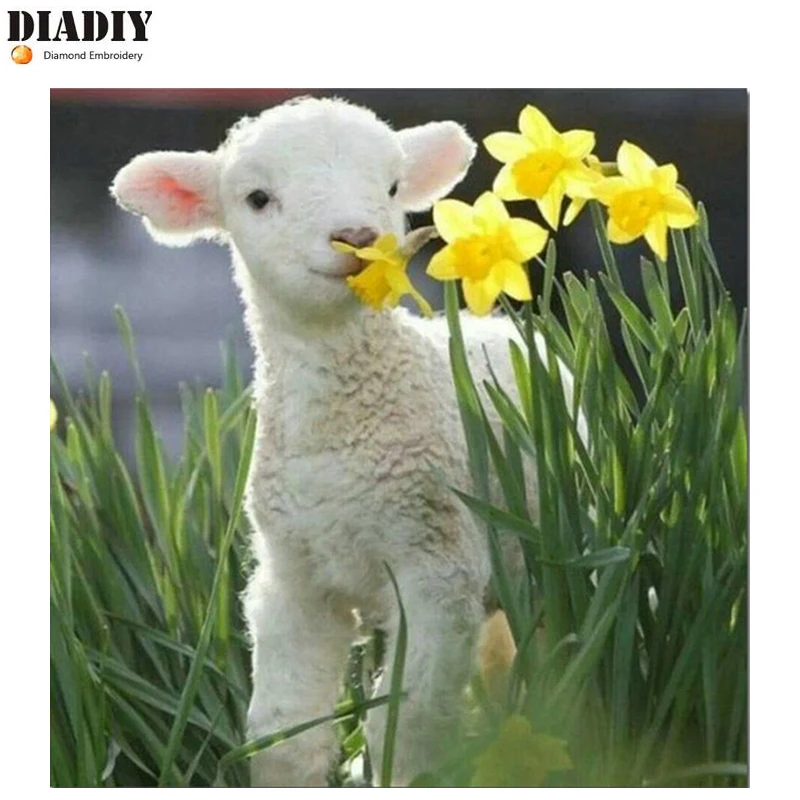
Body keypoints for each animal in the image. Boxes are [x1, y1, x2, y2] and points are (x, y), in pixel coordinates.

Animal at [111, 96, 565, 786]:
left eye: (393, 186)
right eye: (258, 198)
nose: (357, 237)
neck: (344, 433)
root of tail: (491, 324)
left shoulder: (438, 568)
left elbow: (405, 732)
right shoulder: (293, 577)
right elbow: (282, 736)